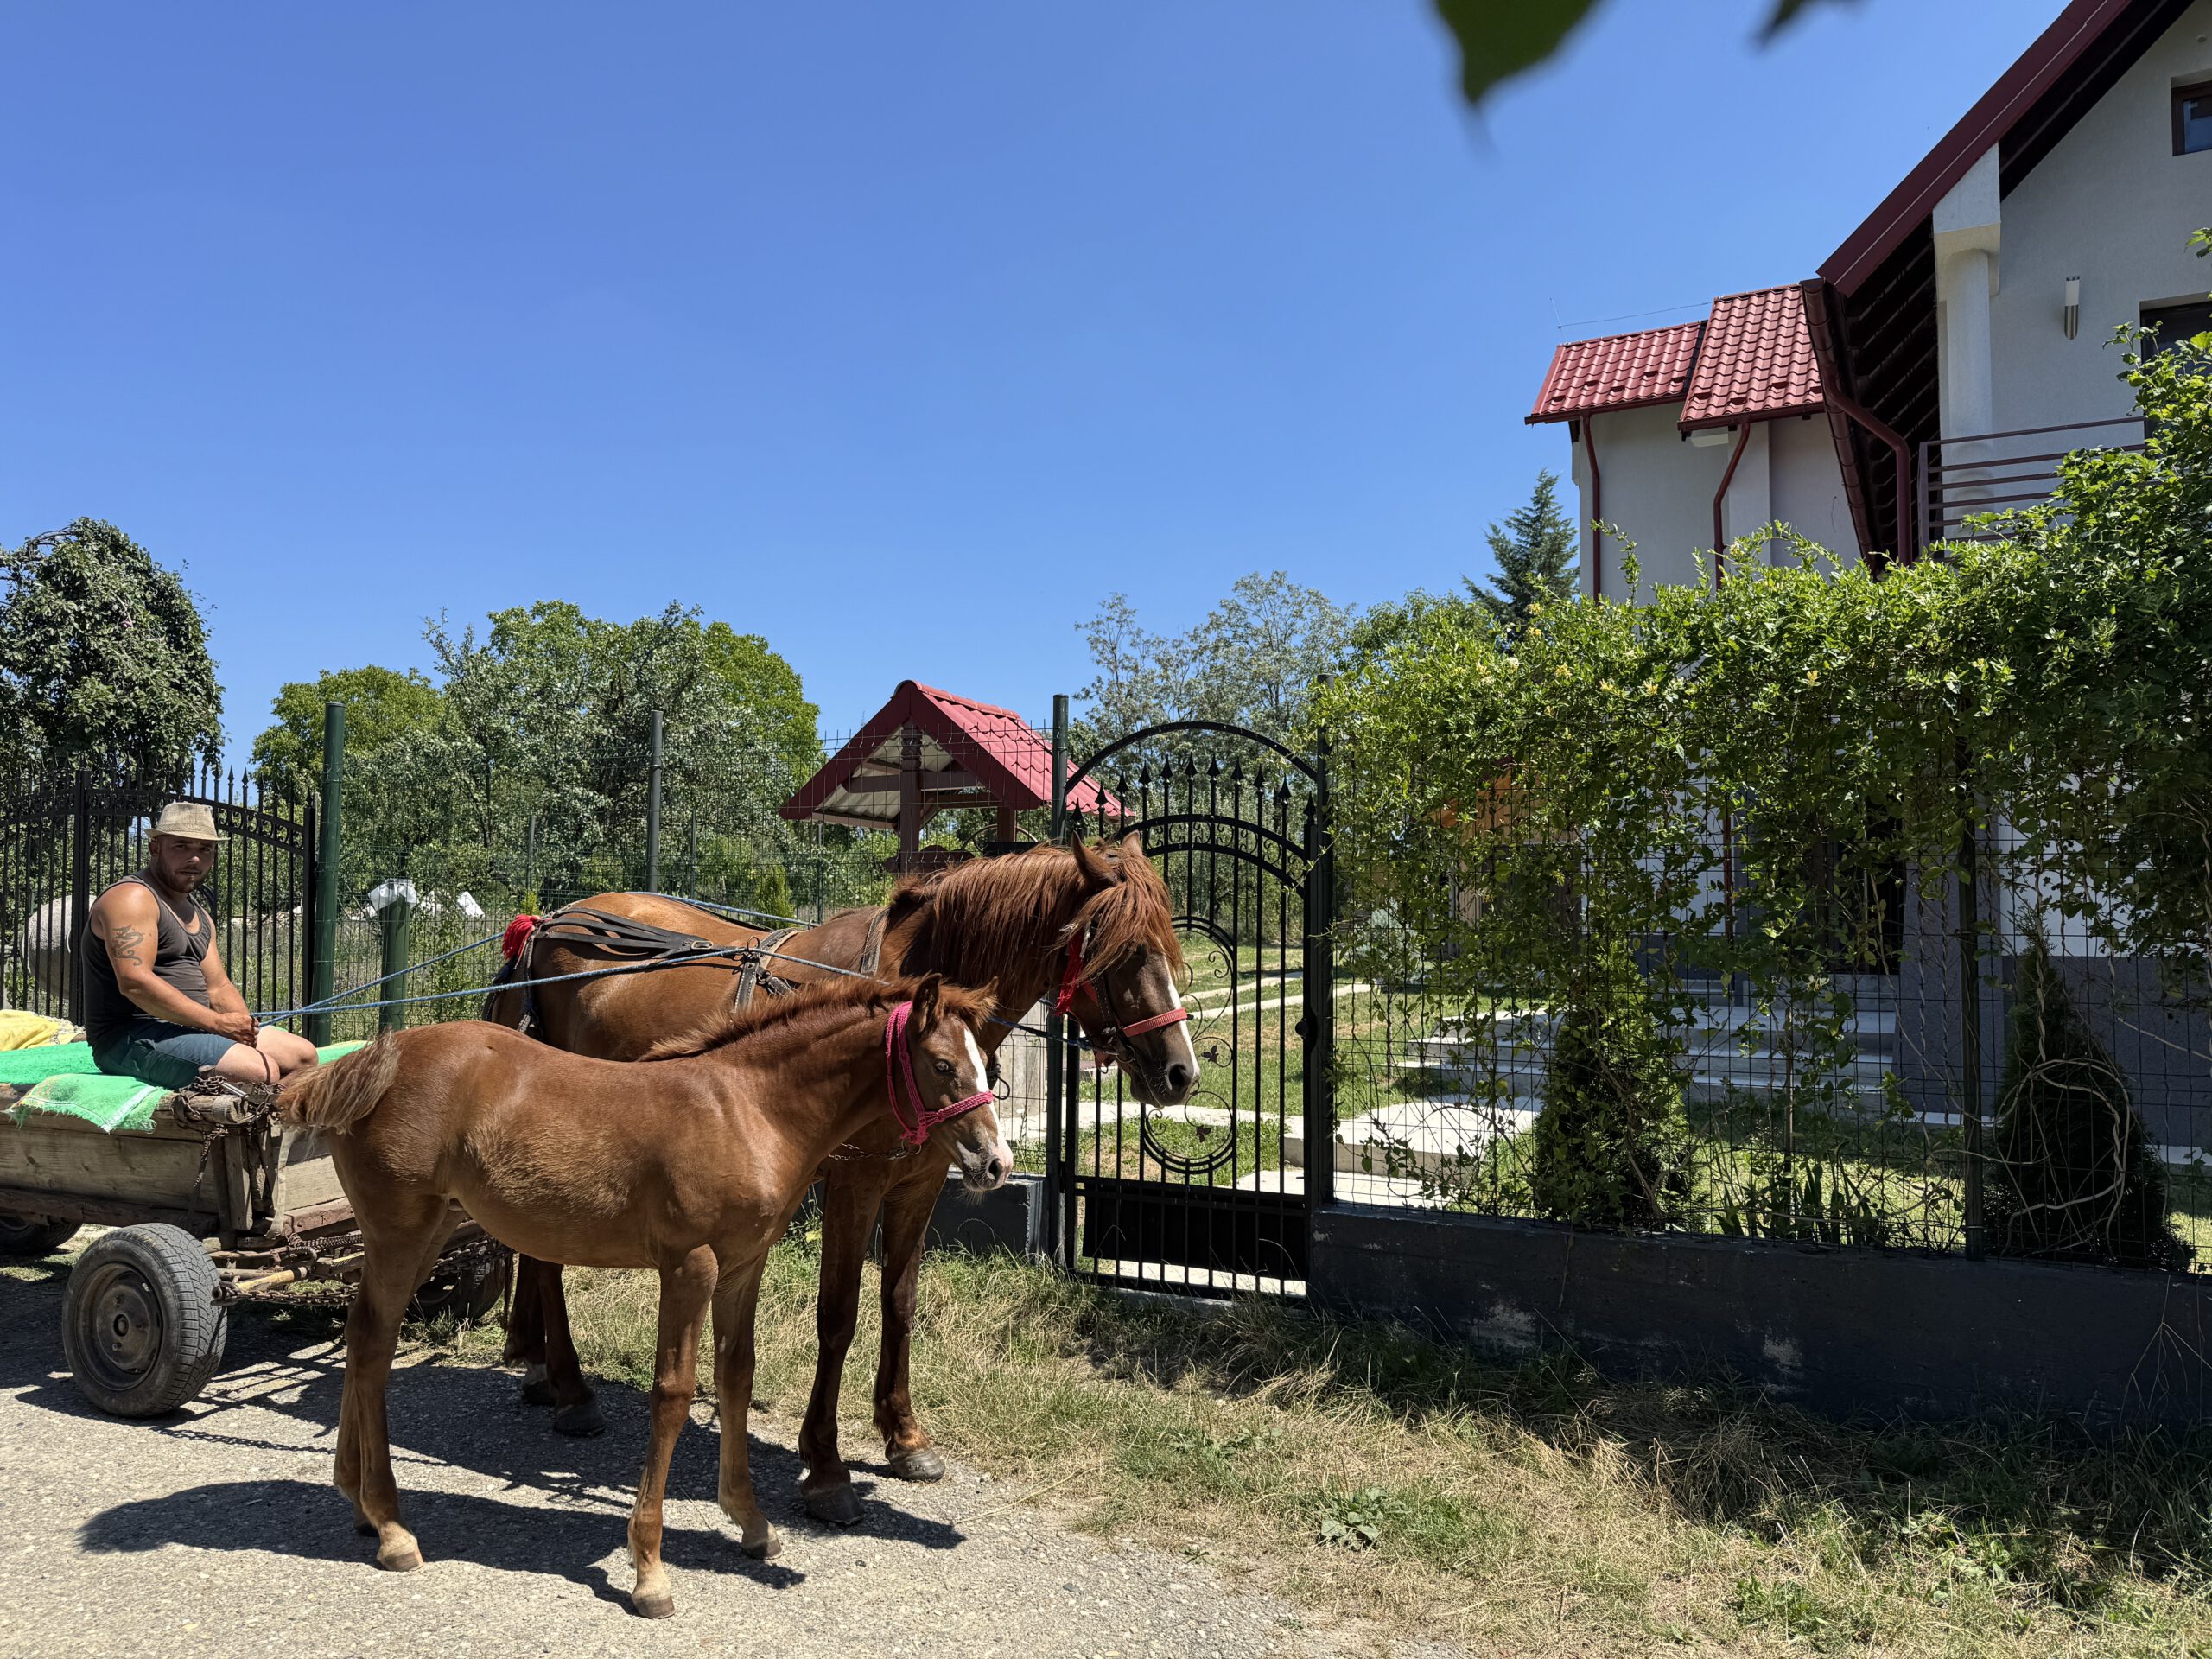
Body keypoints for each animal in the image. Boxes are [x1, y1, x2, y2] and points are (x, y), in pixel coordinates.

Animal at [278, 973, 1013, 1628]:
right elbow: (674, 1396)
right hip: (401, 1234)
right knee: (373, 1345)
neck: (747, 1109)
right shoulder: (690, 1268)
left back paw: (359, 1505)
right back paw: (392, 1527)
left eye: (991, 1065)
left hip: (425, 1234)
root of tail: (369, 1060)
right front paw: (650, 1572)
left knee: (362, 1342)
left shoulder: (743, 1267)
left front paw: (751, 1522)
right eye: (942, 1064)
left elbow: (736, 1378)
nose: (996, 1163)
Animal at [482, 836, 1194, 1530]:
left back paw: (544, 1373)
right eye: (1127, 949)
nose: (1180, 1072)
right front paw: (825, 1467)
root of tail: (546, 923)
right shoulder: (855, 1183)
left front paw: (904, 1437)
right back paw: (572, 1390)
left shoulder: (919, 1184)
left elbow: (900, 1305)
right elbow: (839, 1315)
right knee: (547, 1259)